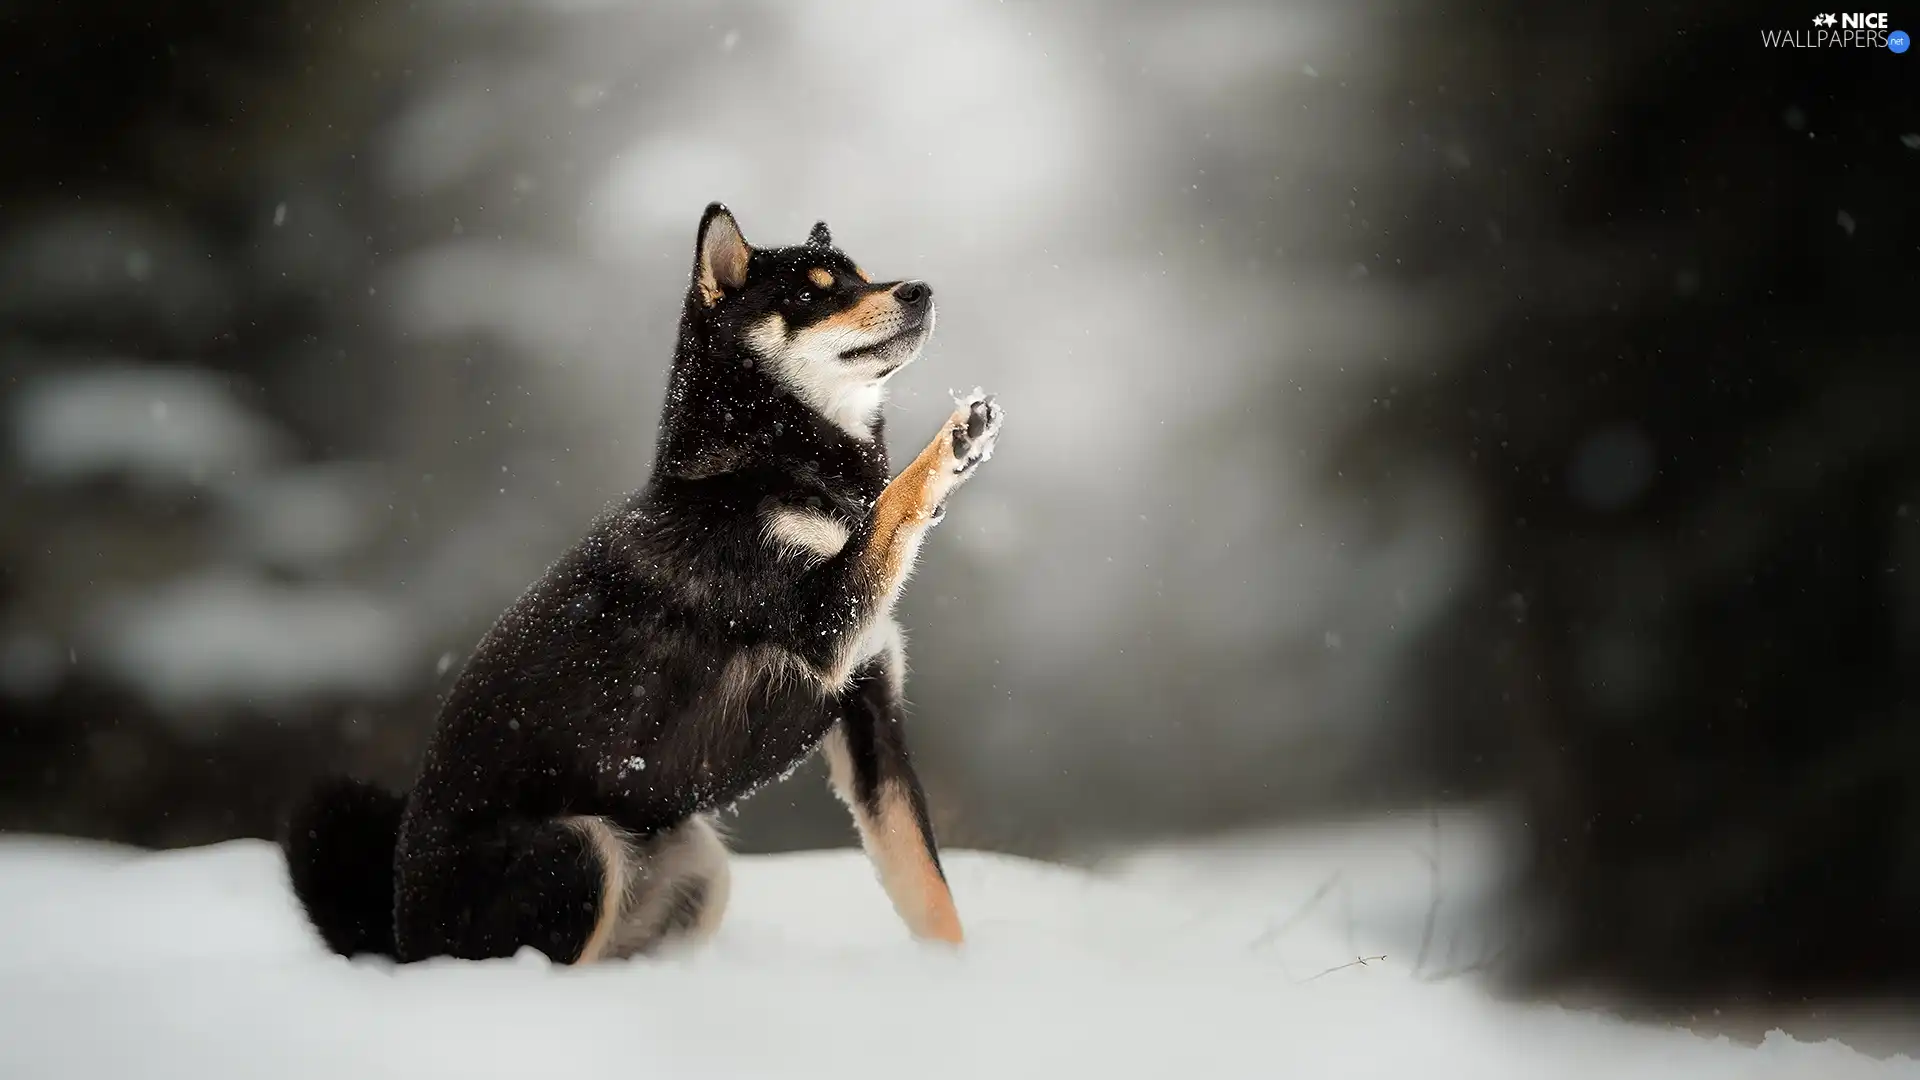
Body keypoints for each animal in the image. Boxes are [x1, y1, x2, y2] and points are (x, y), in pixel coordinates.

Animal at [288, 201, 1006, 957]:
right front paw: (949, 445)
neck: (766, 470)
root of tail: (401, 932)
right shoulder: (822, 624)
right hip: (579, 850)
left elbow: (928, 890)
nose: (919, 291)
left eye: (862, 276)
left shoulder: (870, 714)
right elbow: (894, 504)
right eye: (811, 295)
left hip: (696, 865)